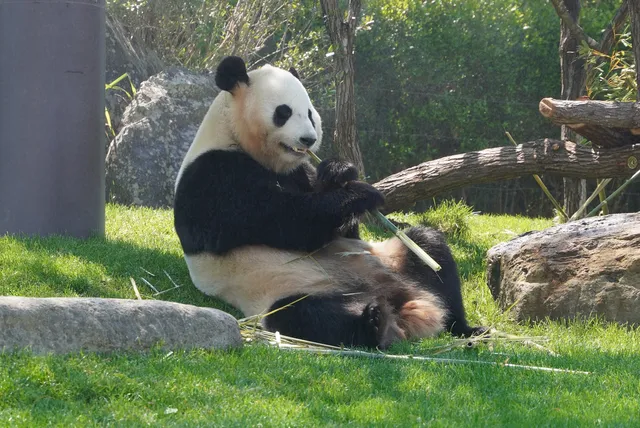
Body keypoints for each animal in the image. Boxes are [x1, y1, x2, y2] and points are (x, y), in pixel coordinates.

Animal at [174, 56, 484, 349]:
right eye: (283, 112)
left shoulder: (301, 171)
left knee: (429, 249)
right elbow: (287, 223)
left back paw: (466, 327)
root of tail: (403, 300)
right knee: (310, 315)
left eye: (311, 113)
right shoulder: (213, 177)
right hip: (283, 288)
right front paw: (360, 194)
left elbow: (341, 228)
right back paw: (374, 323)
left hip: (392, 258)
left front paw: (339, 171)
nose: (308, 139)